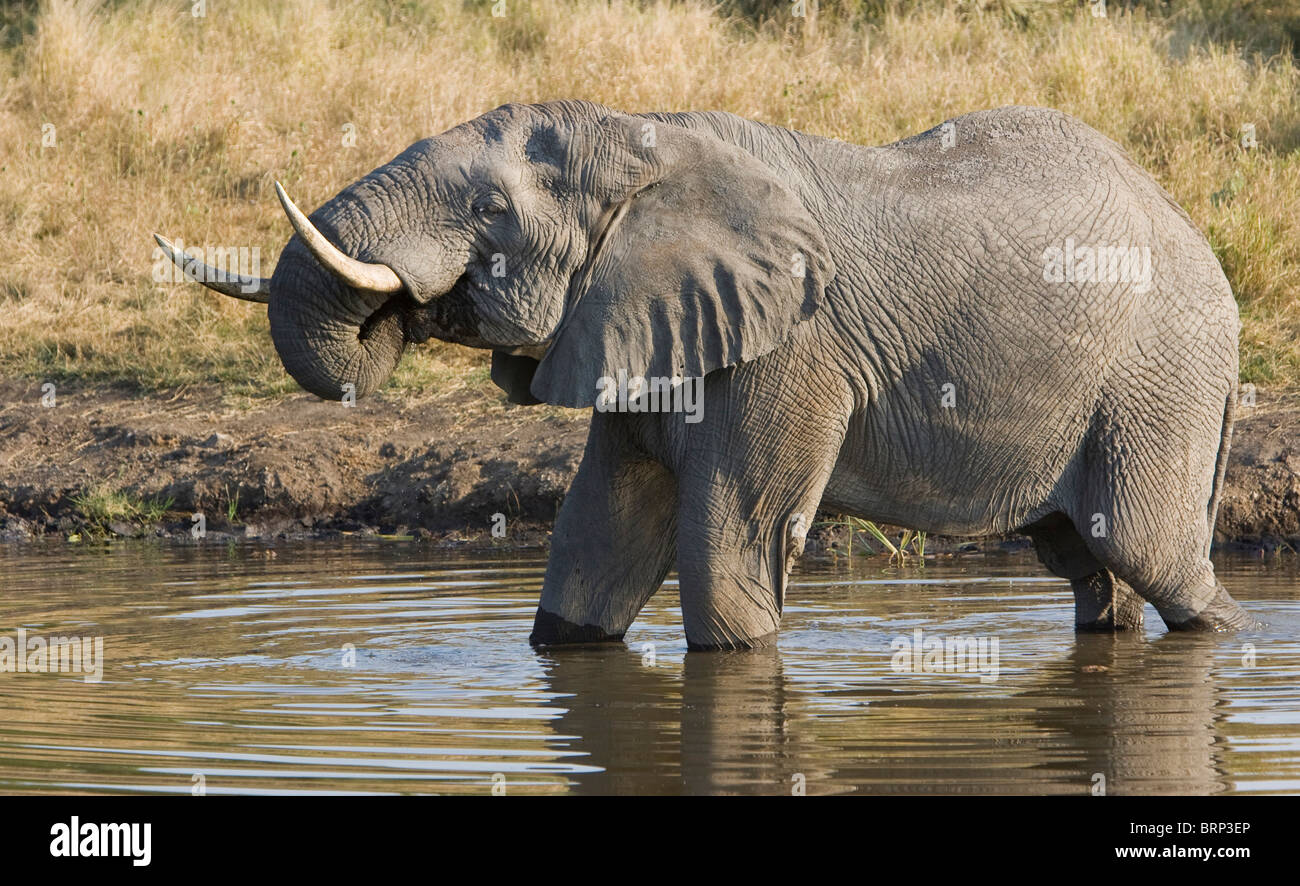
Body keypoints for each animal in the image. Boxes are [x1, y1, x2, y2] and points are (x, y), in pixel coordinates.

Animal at [157, 100, 1253, 644]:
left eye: (491, 214)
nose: (400, 309)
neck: (646, 143)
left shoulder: (792, 352)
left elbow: (728, 551)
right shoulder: (637, 326)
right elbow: (597, 540)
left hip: (1158, 380)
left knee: (1152, 551)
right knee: (1093, 564)